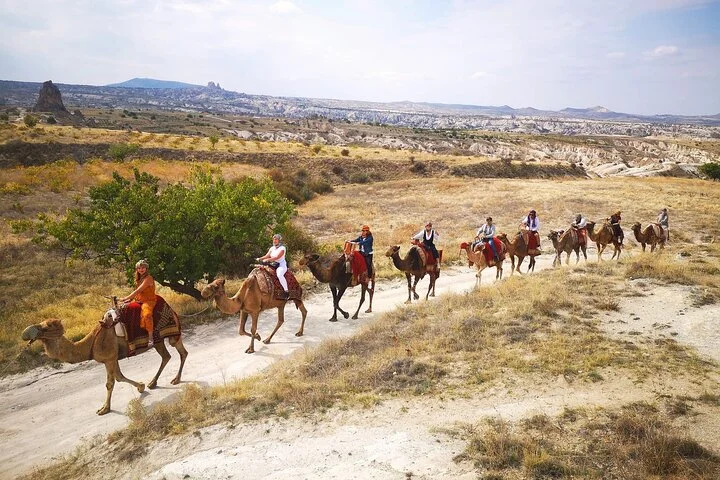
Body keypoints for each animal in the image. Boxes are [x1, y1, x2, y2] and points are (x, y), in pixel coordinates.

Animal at [21, 315, 188, 415]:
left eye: (47, 326)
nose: (26, 333)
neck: (90, 344)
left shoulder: (109, 358)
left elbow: (110, 383)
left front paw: (104, 409)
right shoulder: (112, 358)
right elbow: (119, 377)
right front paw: (141, 386)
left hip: (167, 335)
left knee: (176, 352)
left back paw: (174, 380)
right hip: (161, 339)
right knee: (171, 355)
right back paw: (155, 382)